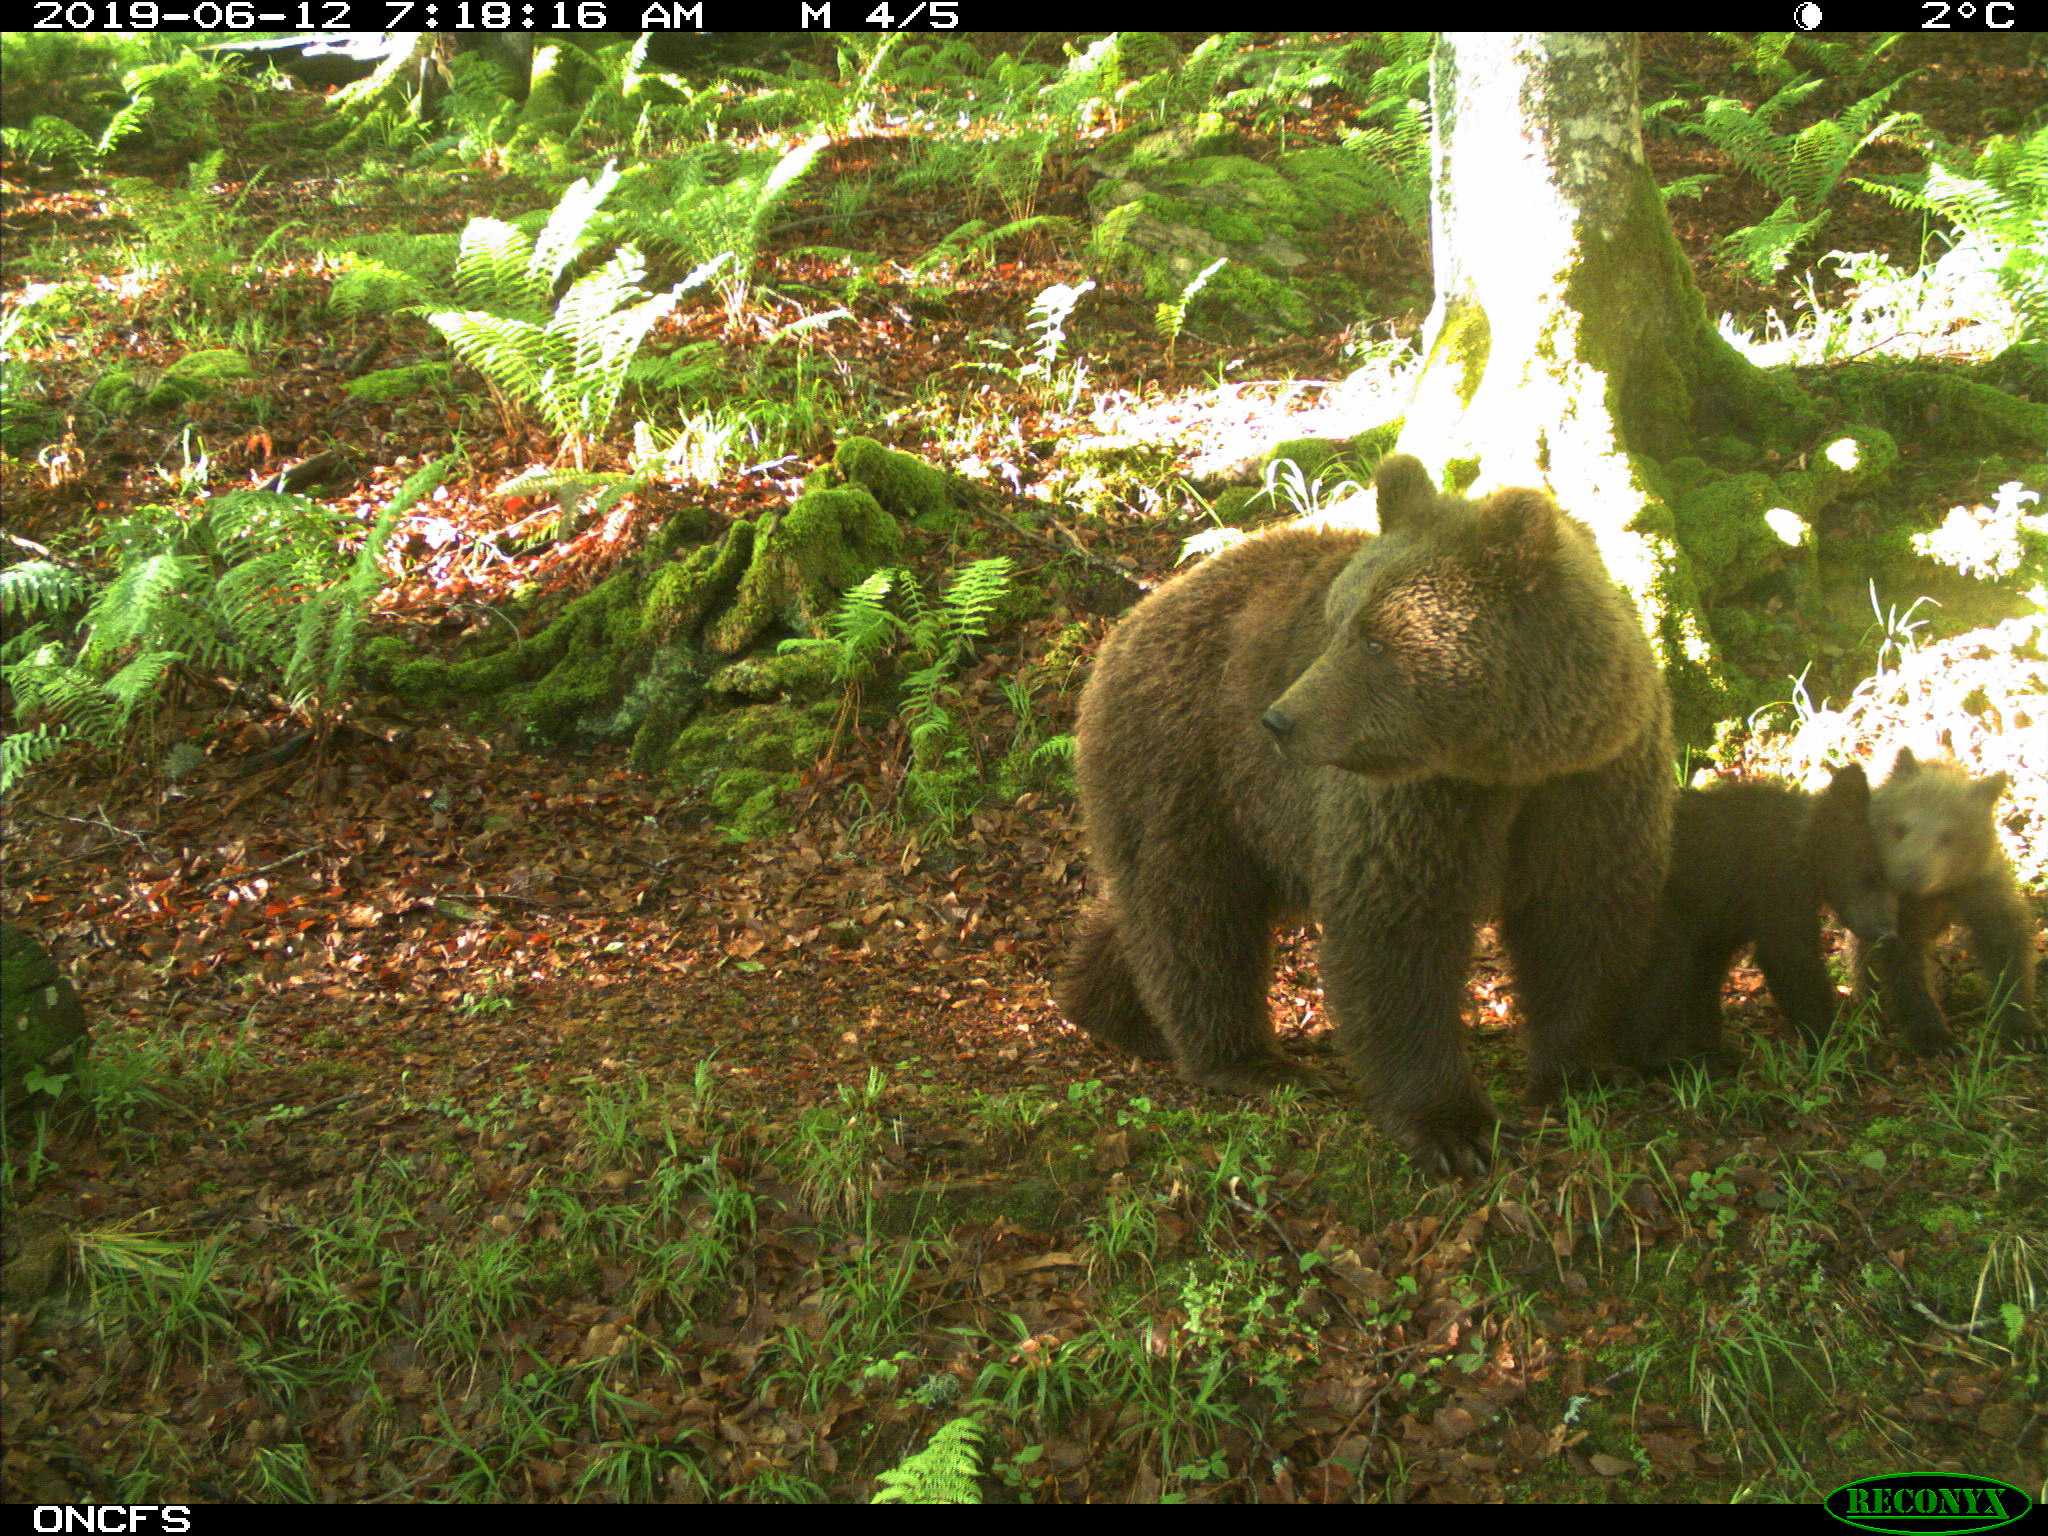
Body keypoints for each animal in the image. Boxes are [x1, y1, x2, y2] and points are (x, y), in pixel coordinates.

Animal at [1064, 456, 1671, 1179]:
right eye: (1336, 624)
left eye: (1375, 641)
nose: (1278, 719)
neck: (1509, 762)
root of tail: (1128, 623)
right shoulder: (1414, 797)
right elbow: (1395, 929)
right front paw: (1453, 1127)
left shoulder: (1592, 782)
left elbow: (1581, 915)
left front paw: (1582, 1071)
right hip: (1187, 763)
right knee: (1195, 912)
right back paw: (1250, 1060)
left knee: (1158, 905)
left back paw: (1107, 1006)